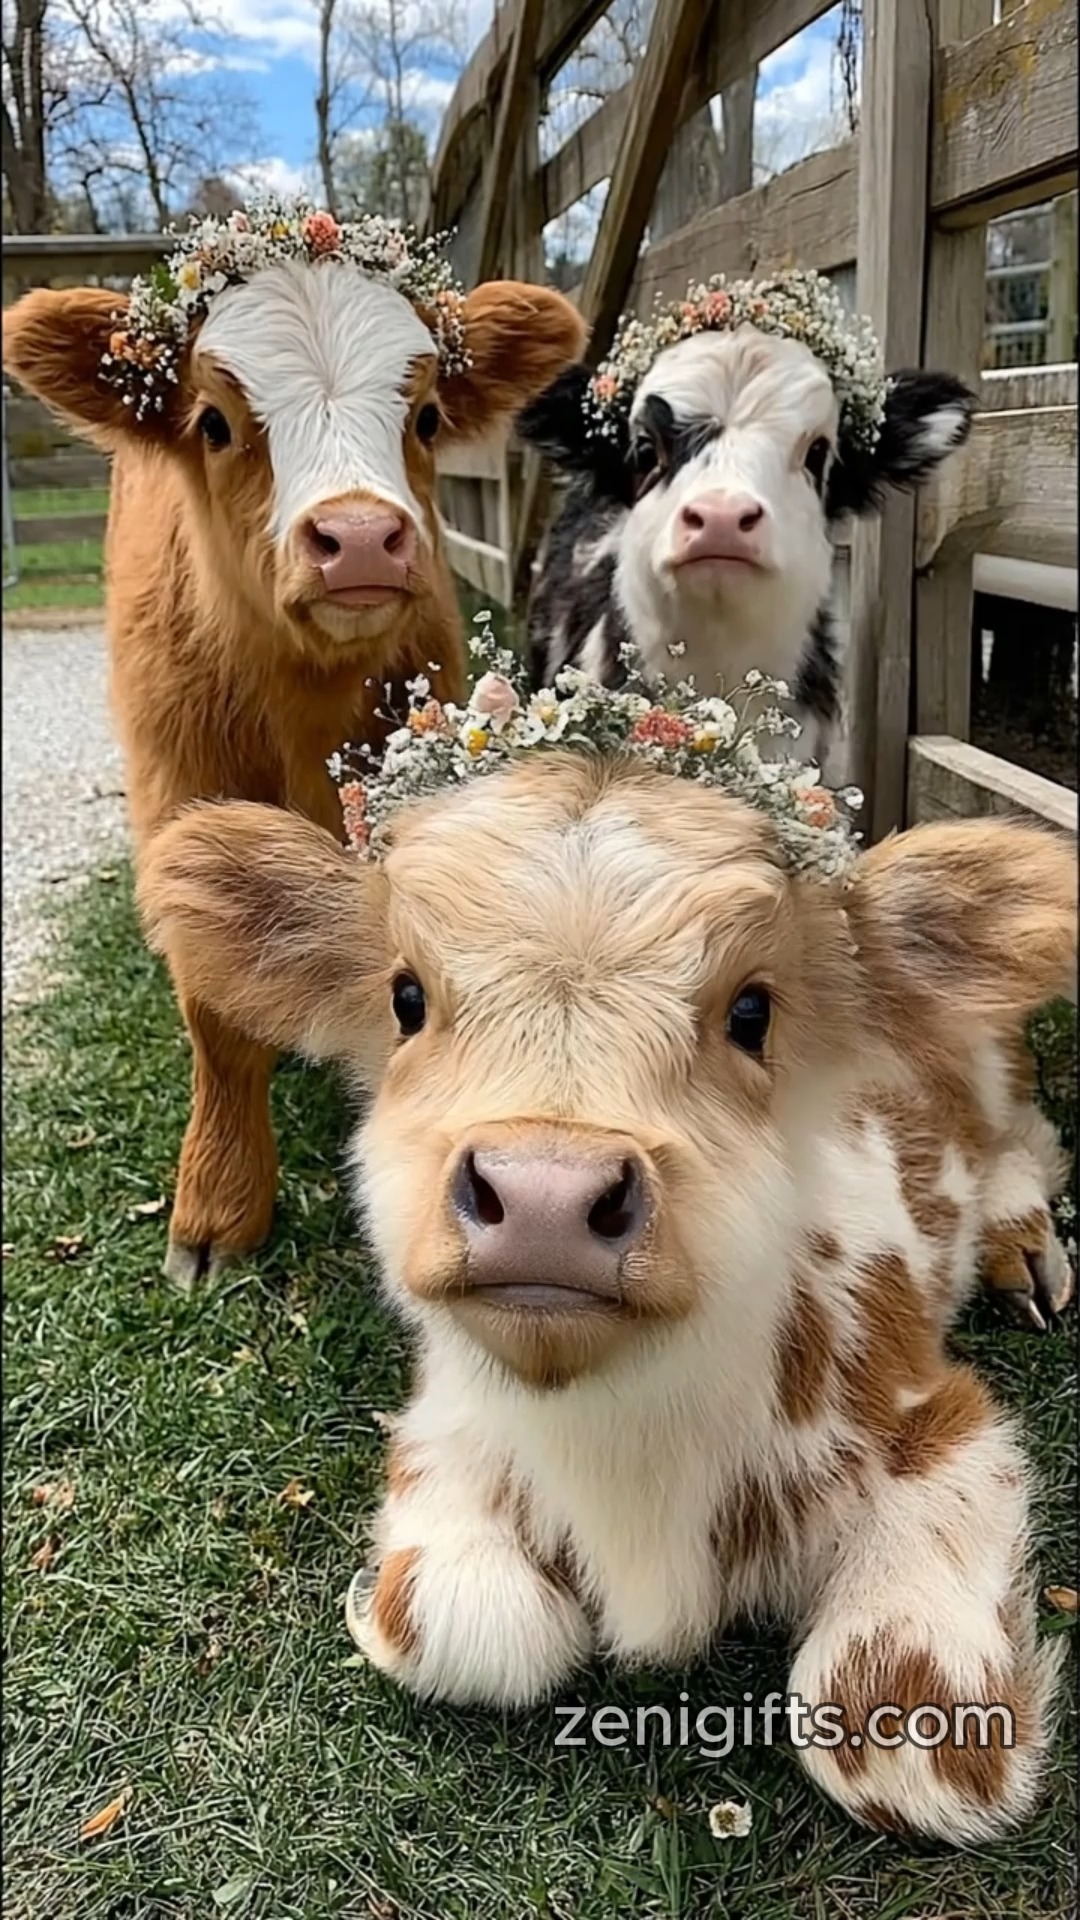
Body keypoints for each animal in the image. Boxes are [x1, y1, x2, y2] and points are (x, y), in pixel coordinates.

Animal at [3, 228, 584, 1285]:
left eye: (425, 415)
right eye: (214, 423)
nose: (359, 539)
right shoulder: (179, 798)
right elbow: (214, 1011)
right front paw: (218, 1209)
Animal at [140, 752, 1075, 1844]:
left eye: (753, 1010)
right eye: (406, 996)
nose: (545, 1195)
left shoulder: (942, 1424)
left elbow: (897, 1733)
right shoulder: (446, 1425)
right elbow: (467, 1623)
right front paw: (373, 1603)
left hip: (987, 1070)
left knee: (1024, 1136)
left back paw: (1023, 1248)